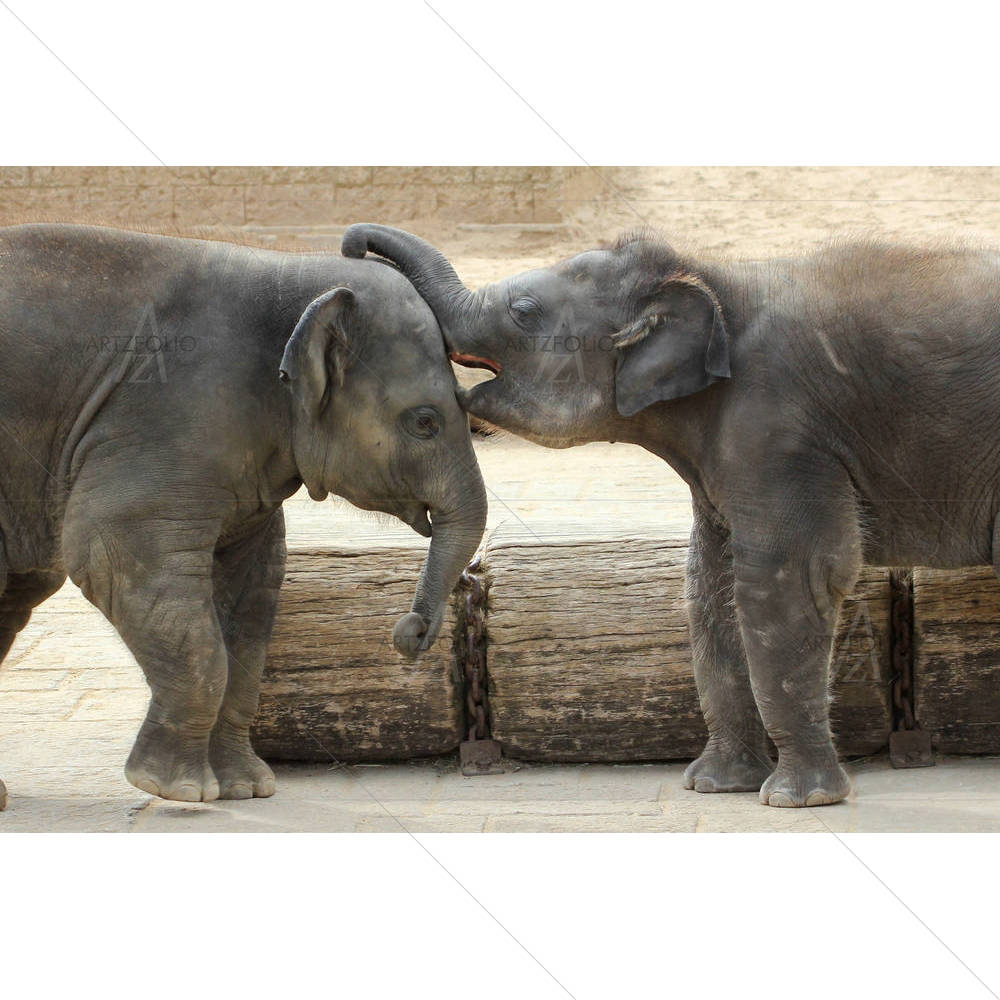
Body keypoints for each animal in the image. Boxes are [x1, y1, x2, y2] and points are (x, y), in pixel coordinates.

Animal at [0, 223, 486, 809]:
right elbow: (106, 549)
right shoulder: (170, 414)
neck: (285, 269)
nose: (410, 633)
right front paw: (175, 789)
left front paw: (245, 788)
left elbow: (253, 588)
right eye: (425, 422)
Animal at [342, 222, 1000, 808]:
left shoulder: (783, 433)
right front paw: (713, 786)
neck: (711, 275)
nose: (351, 247)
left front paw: (800, 800)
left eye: (524, 311)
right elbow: (709, 585)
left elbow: (787, 580)